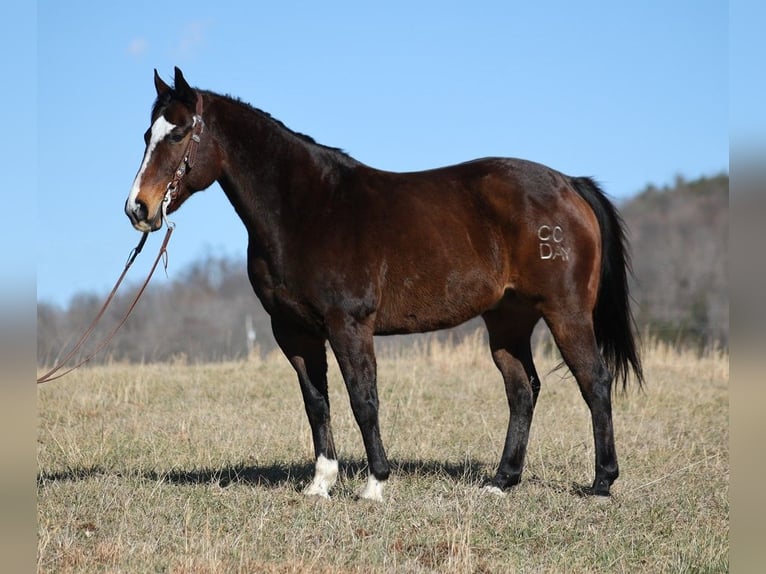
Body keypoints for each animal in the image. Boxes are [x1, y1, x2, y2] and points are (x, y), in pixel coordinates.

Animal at [124, 66, 640, 500]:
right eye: (147, 134)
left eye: (180, 131)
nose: (138, 208)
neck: (307, 209)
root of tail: (568, 184)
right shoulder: (294, 331)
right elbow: (317, 403)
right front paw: (321, 484)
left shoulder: (349, 325)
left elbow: (362, 399)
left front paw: (375, 484)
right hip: (508, 321)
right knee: (522, 390)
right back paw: (502, 481)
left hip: (565, 312)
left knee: (594, 381)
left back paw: (602, 483)